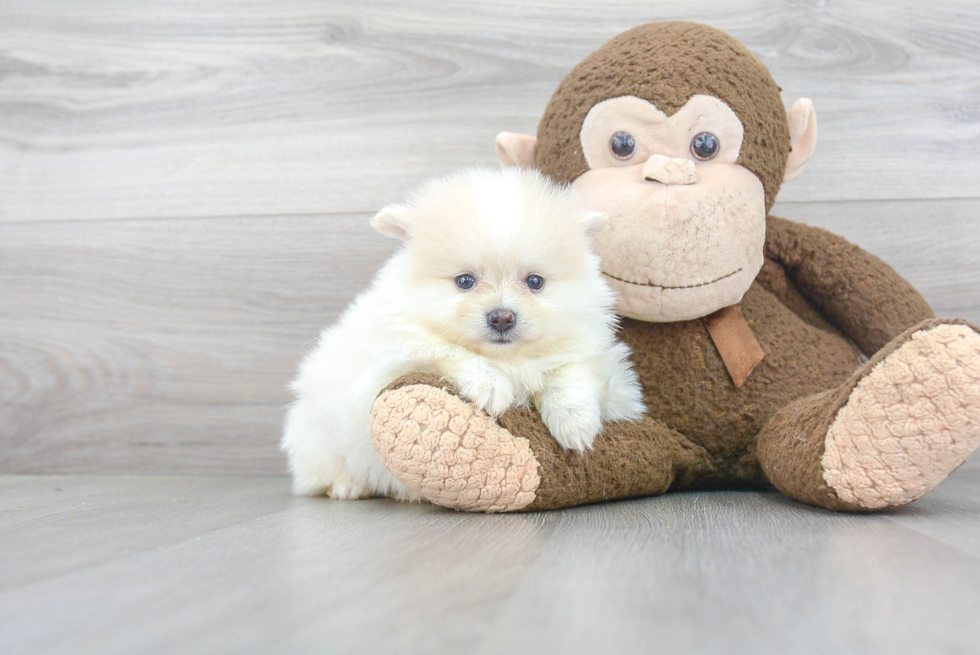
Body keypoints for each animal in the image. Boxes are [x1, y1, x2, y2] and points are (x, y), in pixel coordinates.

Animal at [280, 167, 648, 500]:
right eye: (465, 281)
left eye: (535, 282)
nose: (502, 316)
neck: (509, 359)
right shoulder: (394, 355)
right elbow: (450, 352)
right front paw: (491, 386)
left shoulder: (593, 352)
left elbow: (569, 374)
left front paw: (575, 425)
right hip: (319, 435)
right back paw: (349, 486)